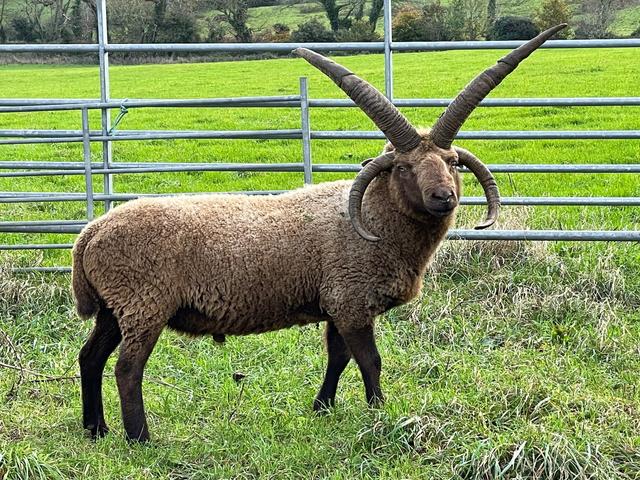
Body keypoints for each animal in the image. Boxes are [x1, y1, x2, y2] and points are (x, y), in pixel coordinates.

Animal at [73, 24, 565, 442]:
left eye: (452, 163)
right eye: (404, 168)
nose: (444, 196)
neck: (376, 221)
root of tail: (90, 234)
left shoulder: (336, 304)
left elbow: (338, 357)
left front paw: (322, 407)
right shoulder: (351, 300)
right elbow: (369, 360)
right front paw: (379, 412)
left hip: (114, 308)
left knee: (90, 357)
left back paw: (95, 429)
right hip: (144, 304)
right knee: (127, 368)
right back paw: (139, 437)